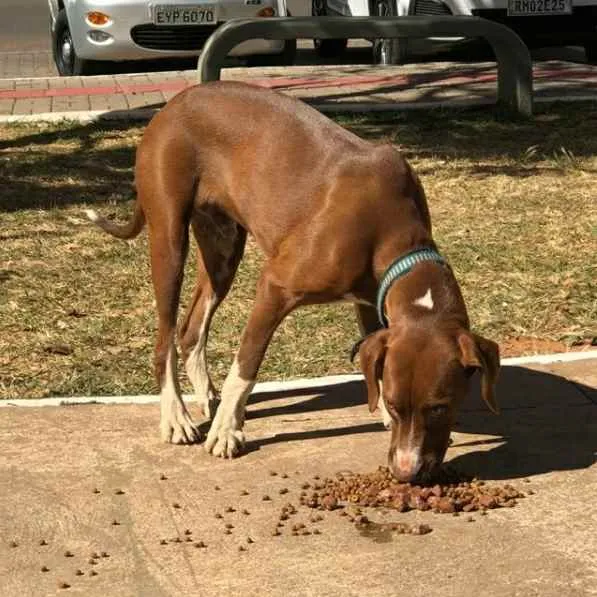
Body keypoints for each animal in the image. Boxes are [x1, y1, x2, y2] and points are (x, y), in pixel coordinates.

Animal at [87, 80, 498, 480]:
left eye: (440, 408)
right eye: (400, 407)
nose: (405, 473)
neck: (394, 234)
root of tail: (171, 105)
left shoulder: (371, 301)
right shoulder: (274, 287)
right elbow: (246, 365)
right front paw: (227, 431)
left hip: (222, 249)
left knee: (190, 329)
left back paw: (206, 396)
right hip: (170, 242)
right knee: (165, 339)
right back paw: (176, 417)